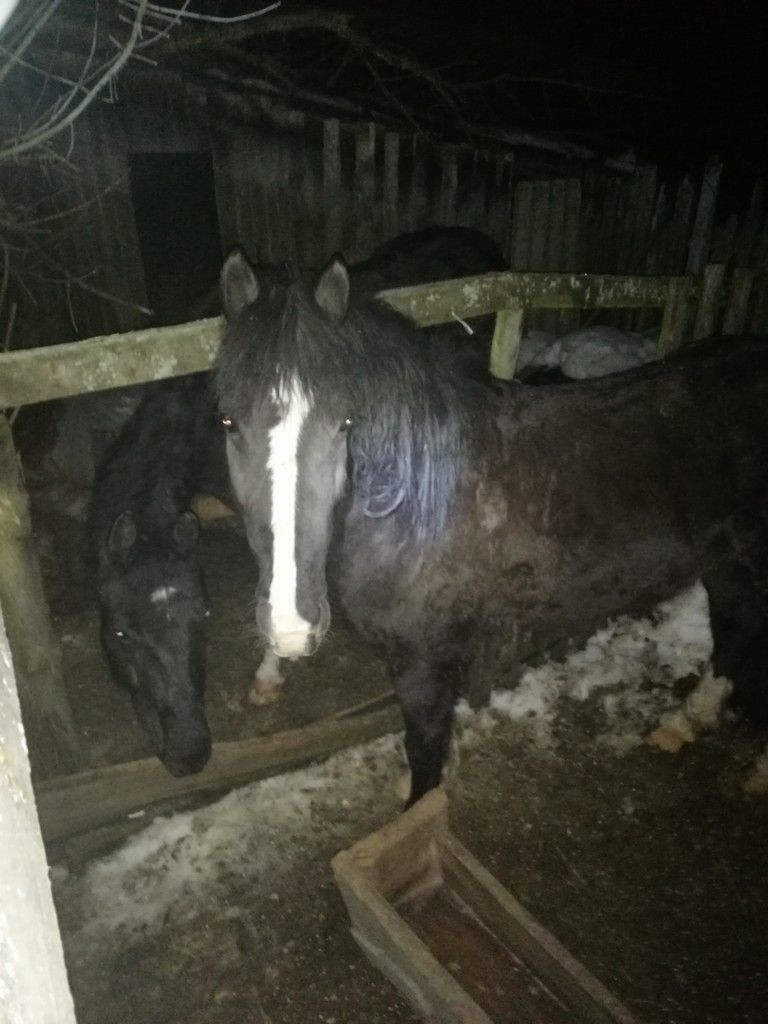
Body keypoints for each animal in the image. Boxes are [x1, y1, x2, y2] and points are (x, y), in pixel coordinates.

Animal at [214, 245, 768, 798]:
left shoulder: (423, 663)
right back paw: (684, 723)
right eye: (227, 421)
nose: (291, 625)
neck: (420, 506)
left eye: (345, 422)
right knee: (736, 631)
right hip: (729, 567)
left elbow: (424, 752)